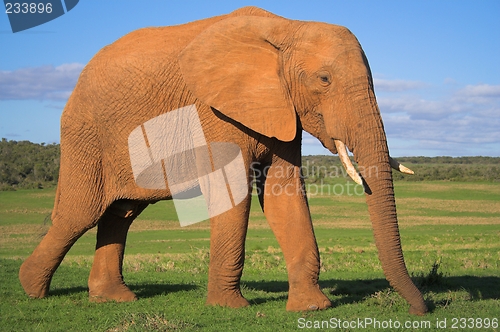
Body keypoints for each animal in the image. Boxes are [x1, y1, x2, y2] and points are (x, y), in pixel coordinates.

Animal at [19, 6, 426, 316]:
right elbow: (233, 190)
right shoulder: (213, 108)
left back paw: (113, 298)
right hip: (87, 134)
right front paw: (230, 308)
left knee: (121, 212)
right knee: (81, 212)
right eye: (324, 79)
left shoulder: (281, 107)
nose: (417, 309)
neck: (286, 27)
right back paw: (31, 289)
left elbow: (282, 191)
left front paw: (313, 308)